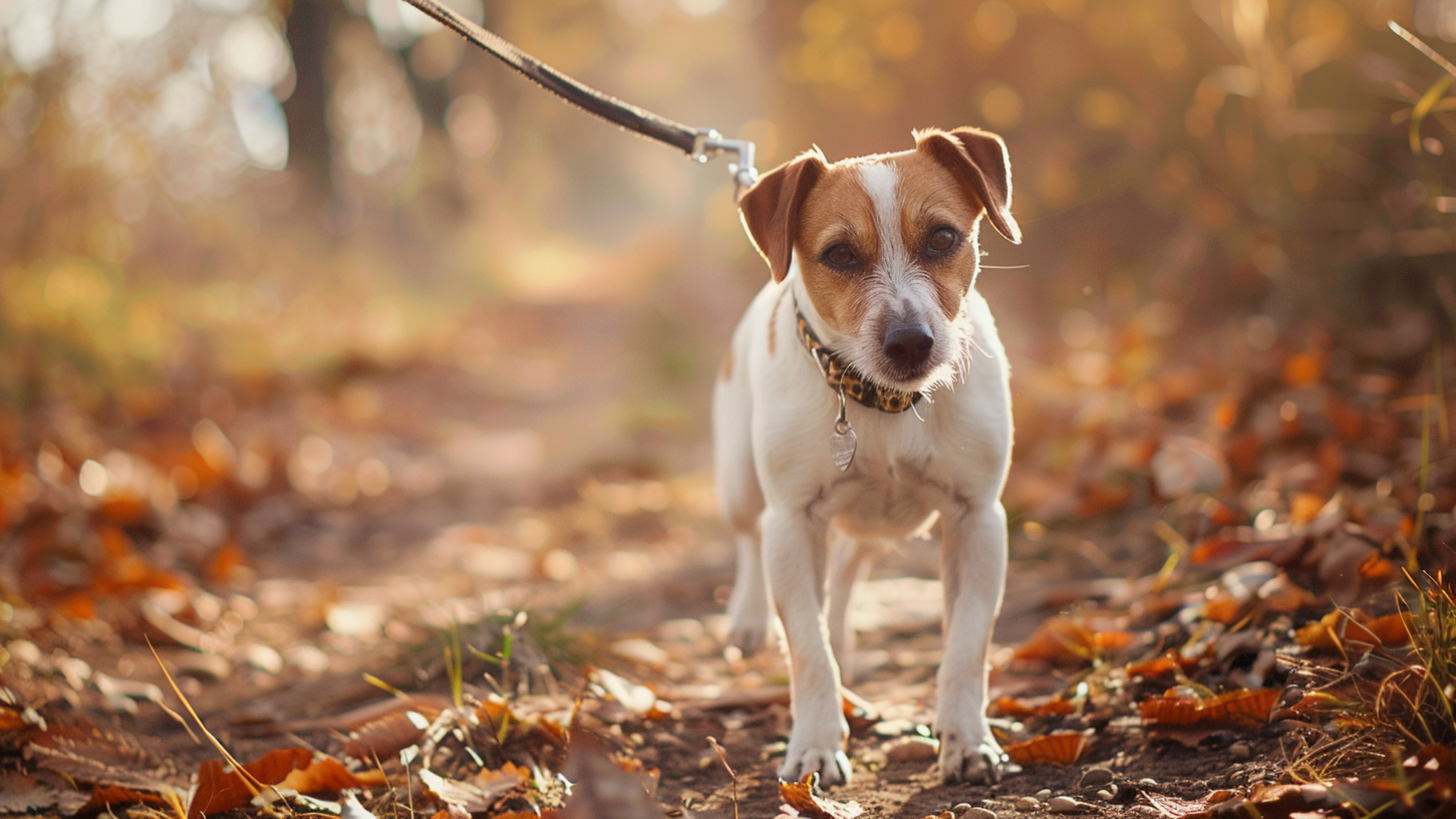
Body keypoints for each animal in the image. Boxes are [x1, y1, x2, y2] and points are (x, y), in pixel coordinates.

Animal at [710, 127, 1019, 786]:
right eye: (840, 255)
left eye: (943, 237)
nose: (909, 342)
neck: (883, 405)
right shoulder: (793, 522)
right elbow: (807, 648)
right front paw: (815, 746)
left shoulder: (978, 519)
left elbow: (967, 644)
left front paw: (967, 740)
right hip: (741, 483)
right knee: (749, 541)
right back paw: (749, 619)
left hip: (876, 528)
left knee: (849, 569)